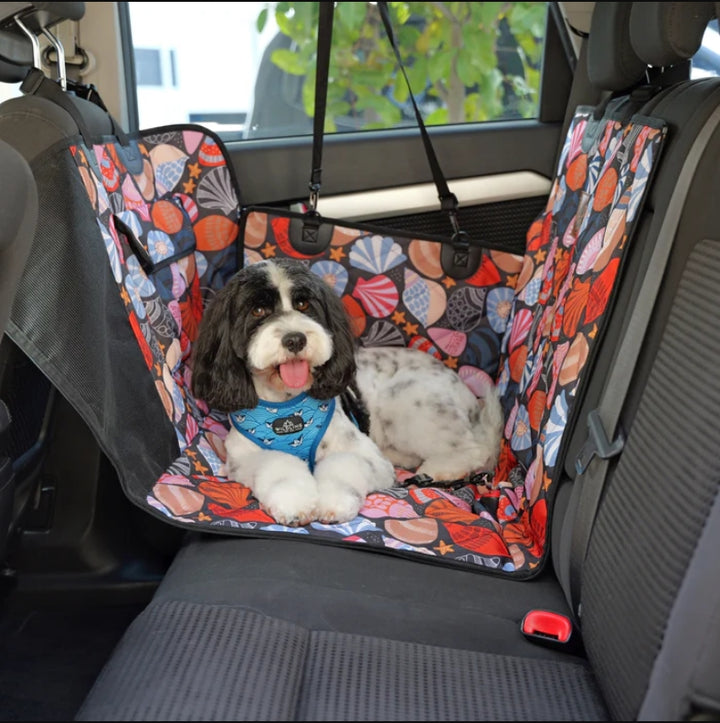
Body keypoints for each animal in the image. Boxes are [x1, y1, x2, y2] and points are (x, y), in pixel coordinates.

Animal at [193, 258, 506, 528]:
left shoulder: (368, 457)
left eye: (303, 304)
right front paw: (294, 503)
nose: (295, 339)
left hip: (409, 400)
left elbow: (344, 465)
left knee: (473, 448)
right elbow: (277, 464)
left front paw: (334, 503)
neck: (286, 406)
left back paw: (441, 469)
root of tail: (467, 394)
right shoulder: (242, 459)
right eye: (258, 311)